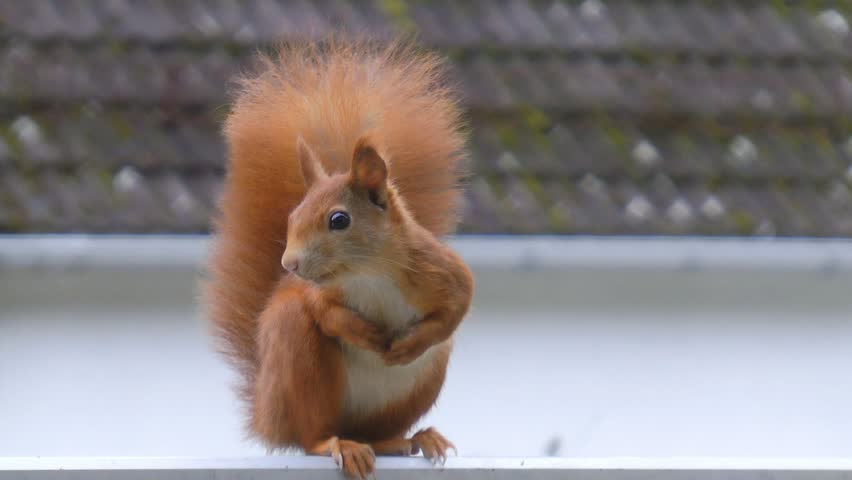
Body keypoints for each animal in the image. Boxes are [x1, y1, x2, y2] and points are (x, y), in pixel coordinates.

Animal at [205, 38, 473, 479]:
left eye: (339, 220)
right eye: (292, 217)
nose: (290, 265)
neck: (368, 273)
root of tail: (266, 414)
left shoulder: (440, 270)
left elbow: (455, 309)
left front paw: (407, 345)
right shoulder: (317, 292)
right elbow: (325, 312)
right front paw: (367, 334)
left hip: (418, 384)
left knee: (379, 434)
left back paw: (414, 438)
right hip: (299, 362)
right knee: (312, 435)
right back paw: (339, 444)